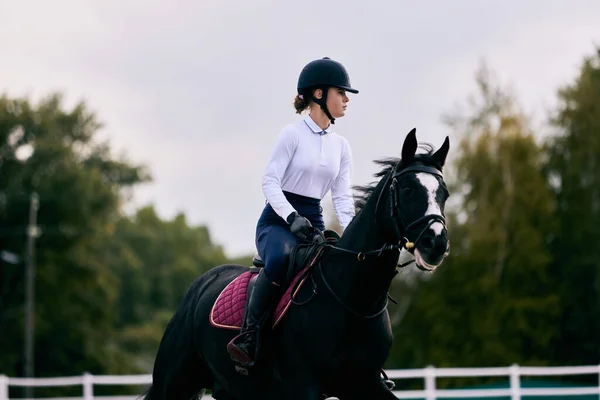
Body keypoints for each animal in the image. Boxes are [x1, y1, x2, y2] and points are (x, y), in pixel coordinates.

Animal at [142, 129, 450, 400]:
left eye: (444, 193)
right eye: (408, 189)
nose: (436, 243)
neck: (353, 297)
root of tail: (200, 286)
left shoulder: (364, 383)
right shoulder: (304, 385)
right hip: (174, 383)